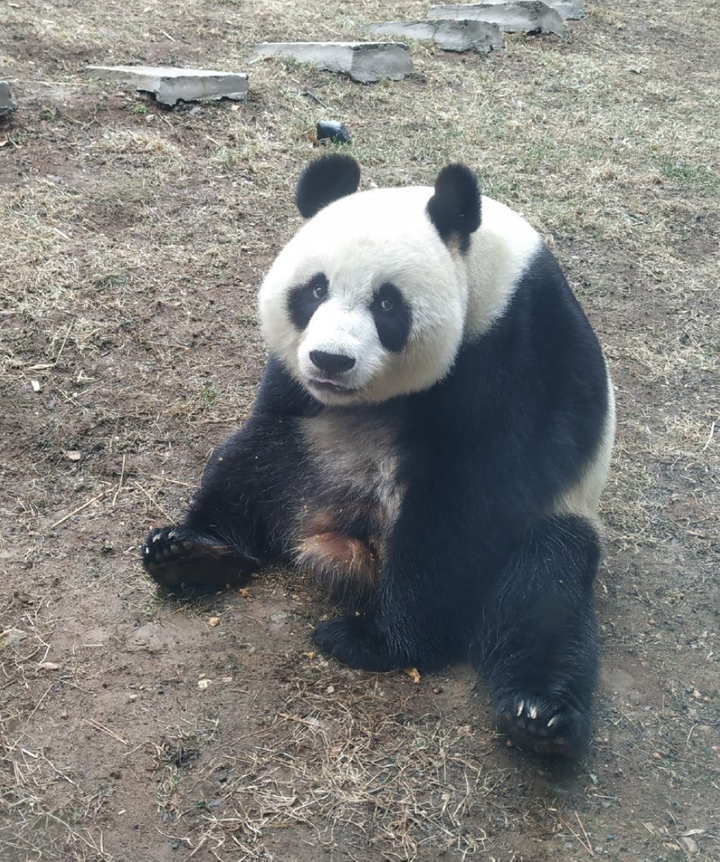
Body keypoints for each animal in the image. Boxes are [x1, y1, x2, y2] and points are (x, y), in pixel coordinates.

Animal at [143, 157, 616, 764]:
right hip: (310, 456)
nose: (330, 360)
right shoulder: (296, 394)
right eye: (314, 289)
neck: (481, 268)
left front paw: (379, 641)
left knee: (544, 588)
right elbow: (265, 422)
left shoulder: (518, 345)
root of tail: (345, 537)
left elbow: (471, 499)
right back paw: (191, 553)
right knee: (246, 465)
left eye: (387, 304)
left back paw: (538, 716)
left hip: (561, 512)